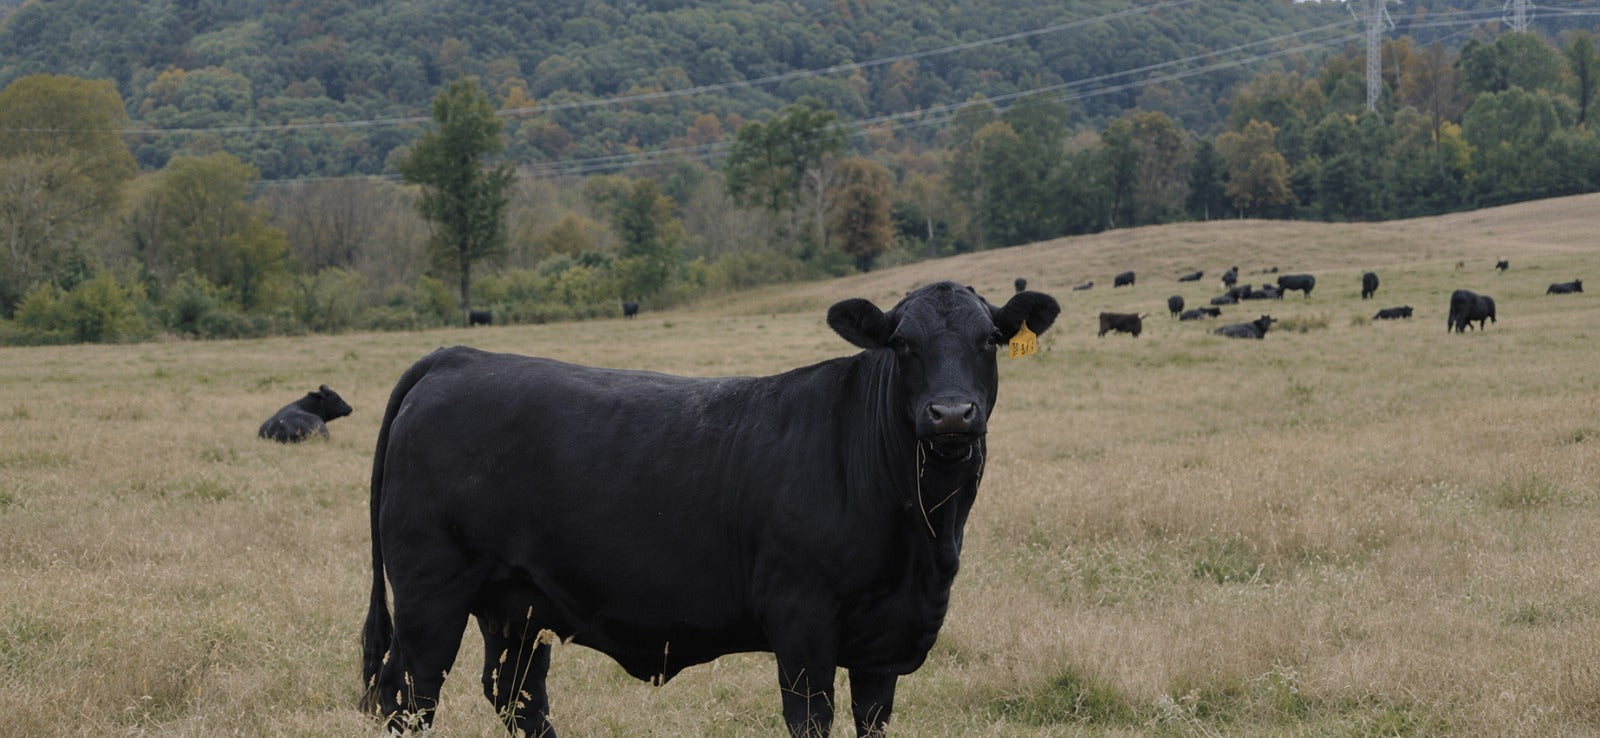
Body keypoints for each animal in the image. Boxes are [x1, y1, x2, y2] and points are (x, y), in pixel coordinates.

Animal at [359, 281, 1061, 738]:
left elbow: (872, 722)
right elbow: (811, 719)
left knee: (517, 695)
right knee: (407, 694)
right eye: (902, 343)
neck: (923, 540)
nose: (951, 414)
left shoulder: (882, 643)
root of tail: (454, 357)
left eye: (989, 339)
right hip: (431, 592)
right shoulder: (802, 621)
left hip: (515, 605)